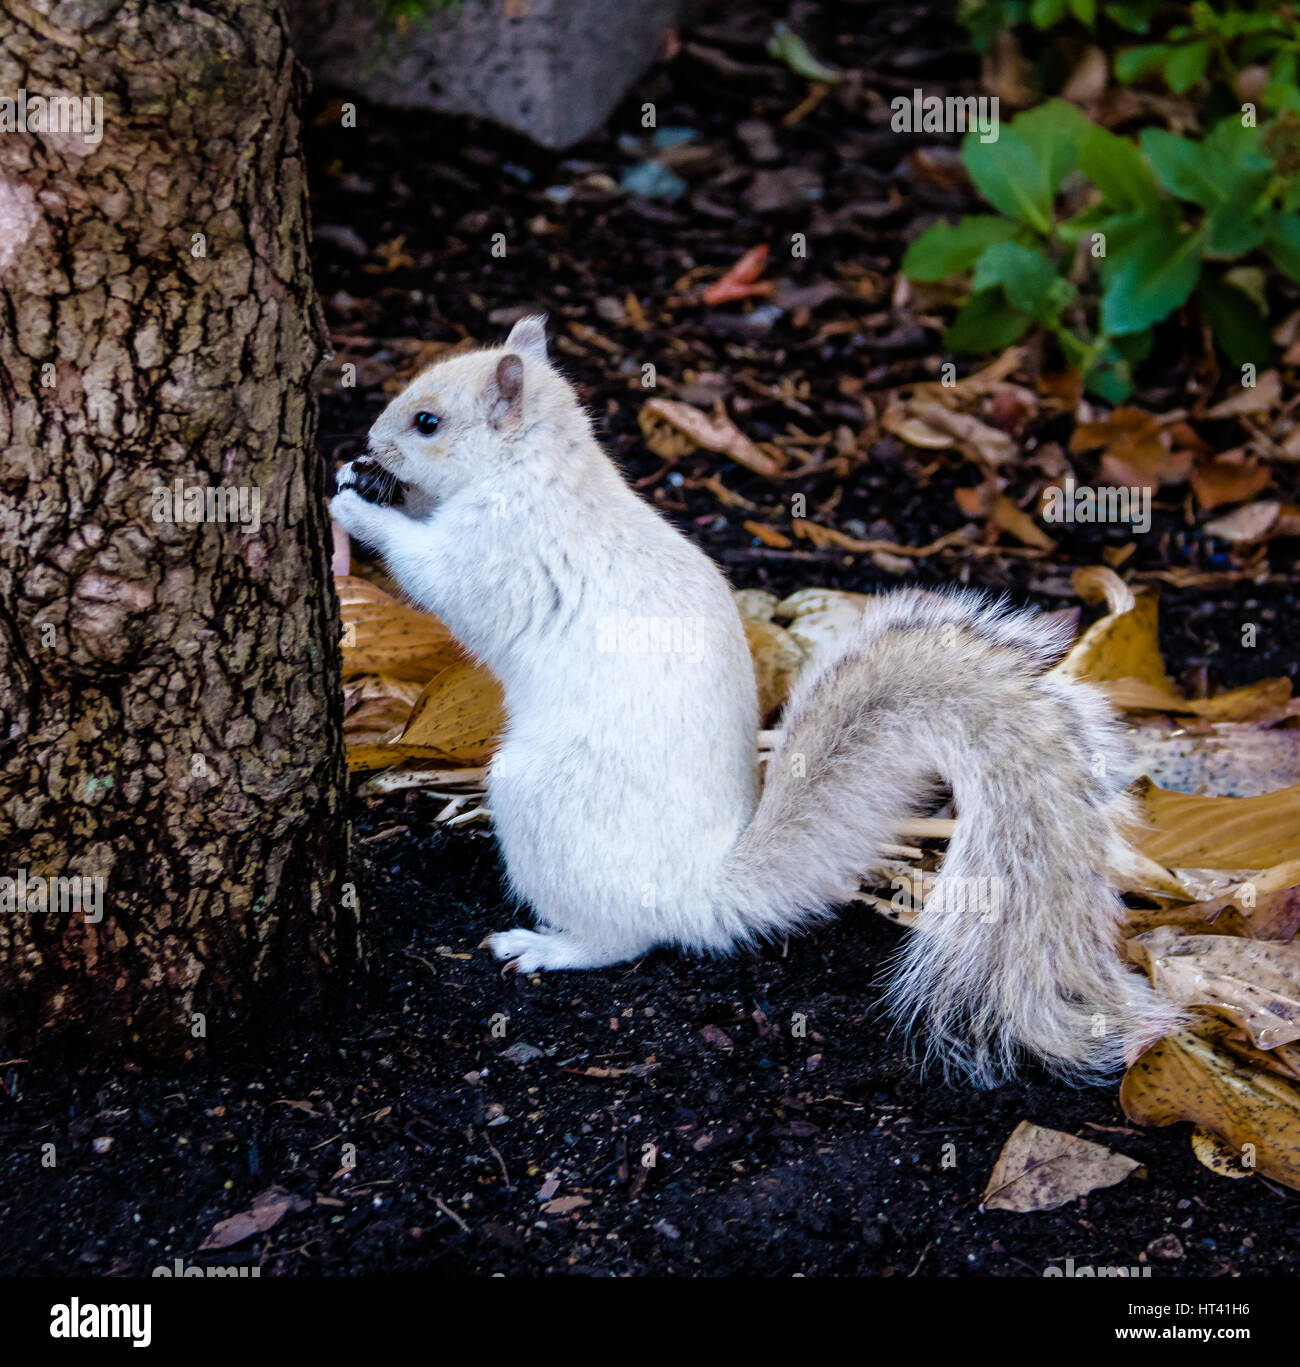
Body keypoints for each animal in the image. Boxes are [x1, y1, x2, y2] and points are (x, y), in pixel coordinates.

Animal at [331, 315, 1181, 1086]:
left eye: (428, 422)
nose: (365, 442)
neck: (536, 472)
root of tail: (697, 890)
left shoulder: (495, 552)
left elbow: (432, 573)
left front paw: (353, 506)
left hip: (543, 806)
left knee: (621, 937)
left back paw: (546, 945)